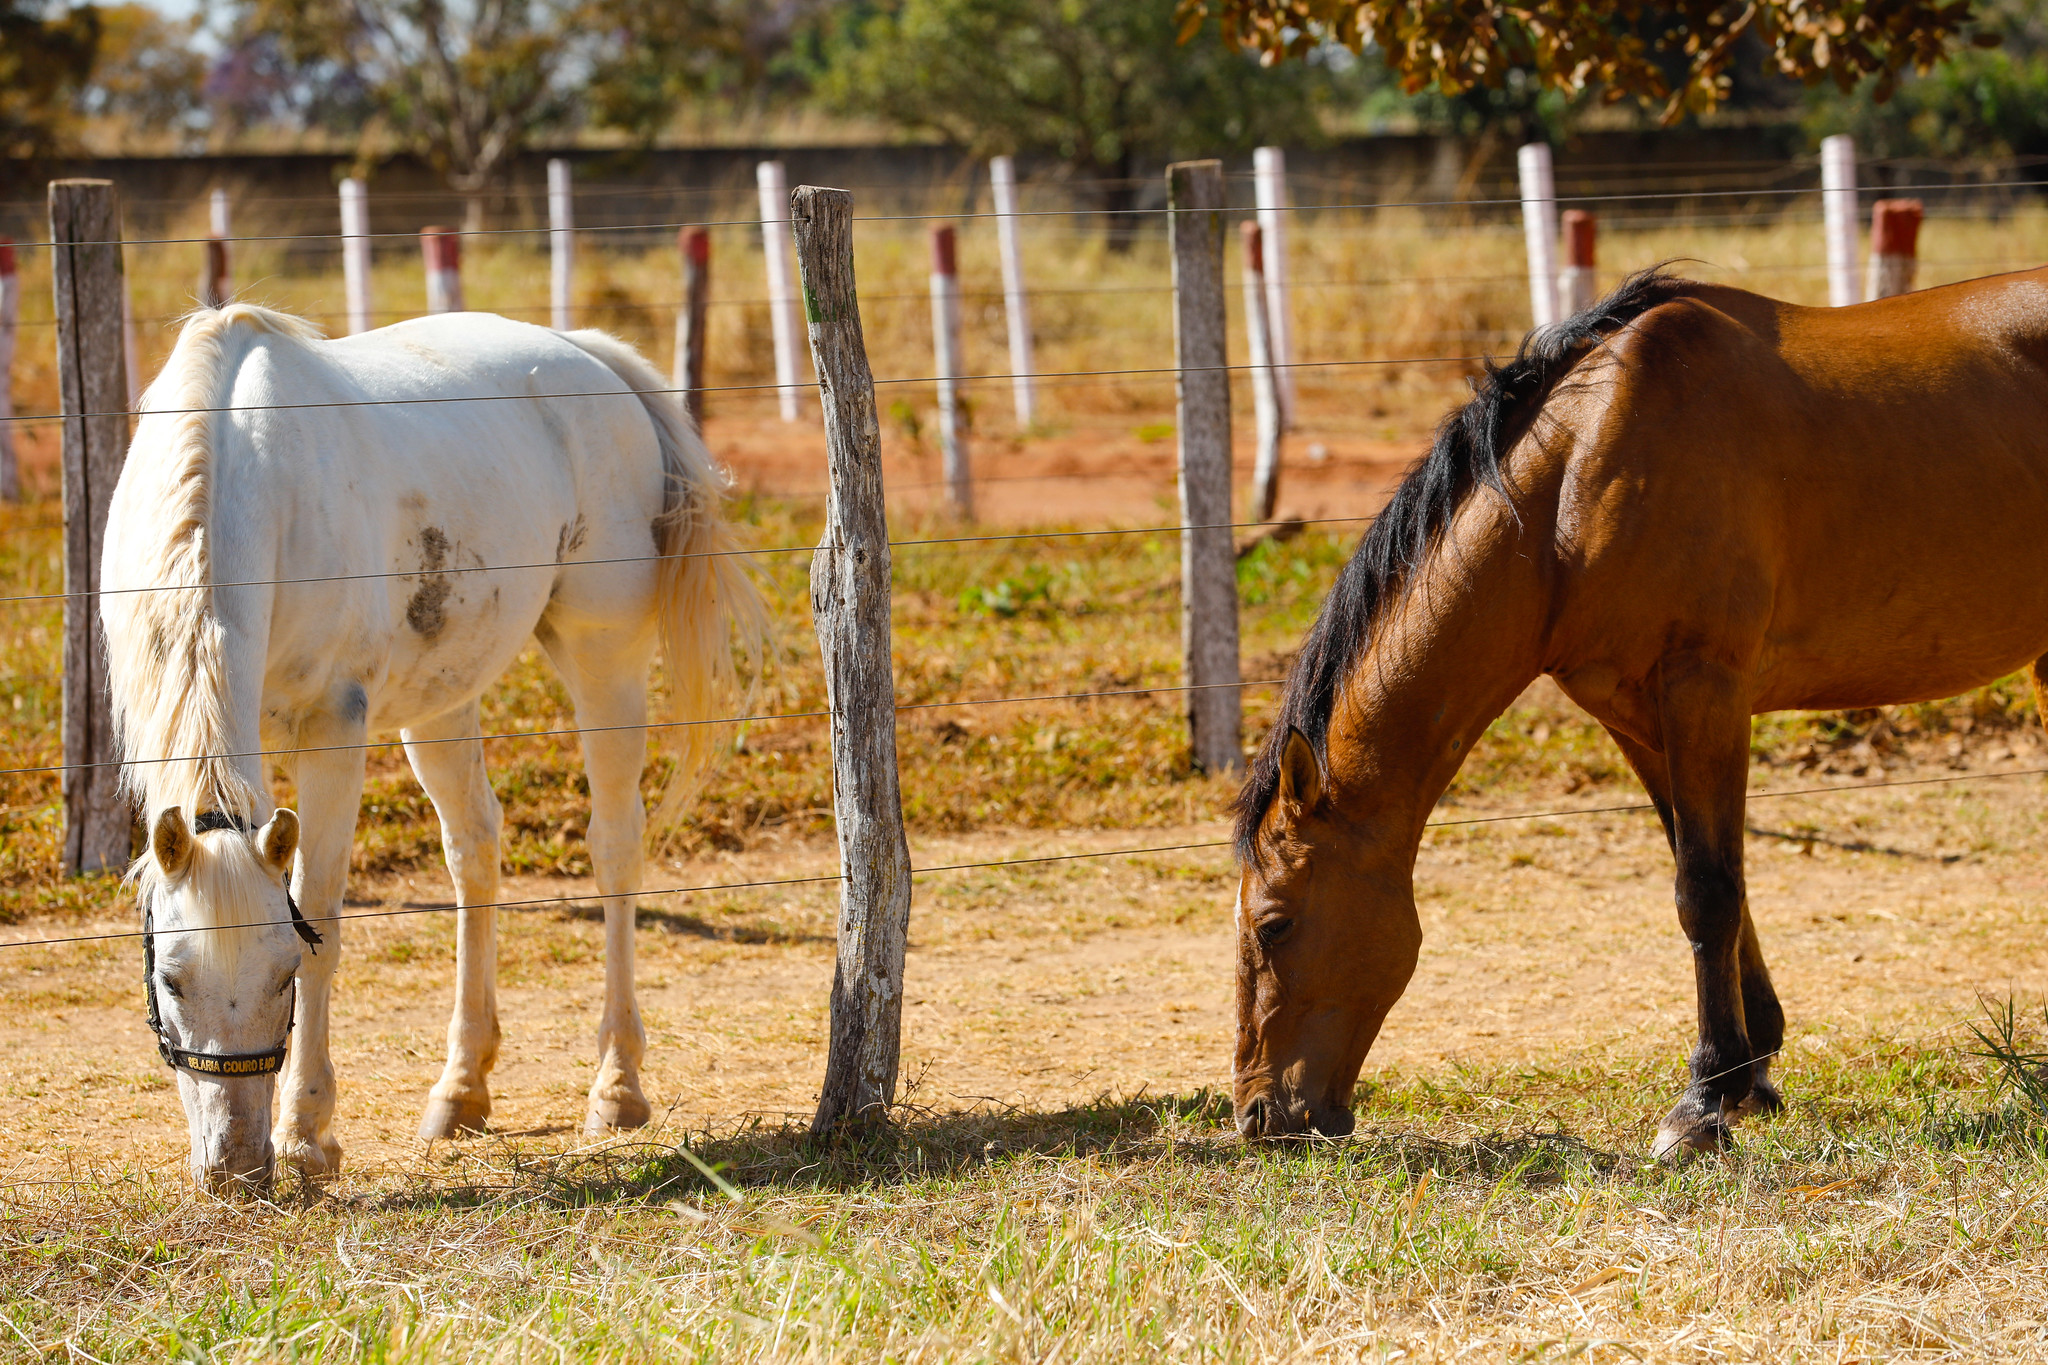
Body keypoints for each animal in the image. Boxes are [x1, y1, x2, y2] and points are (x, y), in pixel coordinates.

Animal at [99, 304, 765, 1186]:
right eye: (171, 980)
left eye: (282, 974)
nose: (237, 1166)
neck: (241, 473)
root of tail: (587, 353)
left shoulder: (332, 730)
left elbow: (321, 916)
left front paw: (306, 1135)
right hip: (444, 705)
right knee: (474, 848)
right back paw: (462, 1088)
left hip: (604, 658)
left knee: (616, 844)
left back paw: (617, 1084)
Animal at [1228, 263, 2048, 1154]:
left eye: (1274, 924)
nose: (1258, 1115)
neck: (1582, 470)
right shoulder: (1636, 716)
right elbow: (1711, 873)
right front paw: (1749, 1072)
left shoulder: (1704, 690)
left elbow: (1708, 889)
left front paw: (1703, 1103)